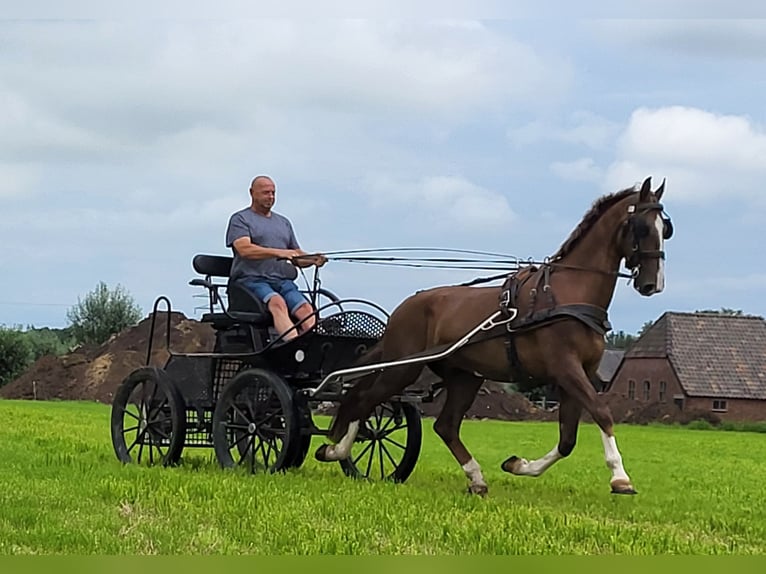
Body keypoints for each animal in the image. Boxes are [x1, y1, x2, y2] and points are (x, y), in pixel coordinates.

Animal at [312, 178, 672, 498]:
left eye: (665, 228)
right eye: (642, 227)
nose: (652, 283)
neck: (568, 293)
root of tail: (405, 307)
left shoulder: (578, 373)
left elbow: (568, 439)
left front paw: (518, 465)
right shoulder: (565, 368)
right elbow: (601, 412)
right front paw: (620, 478)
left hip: (464, 376)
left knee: (443, 425)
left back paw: (476, 478)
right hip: (403, 368)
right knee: (362, 399)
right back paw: (337, 450)